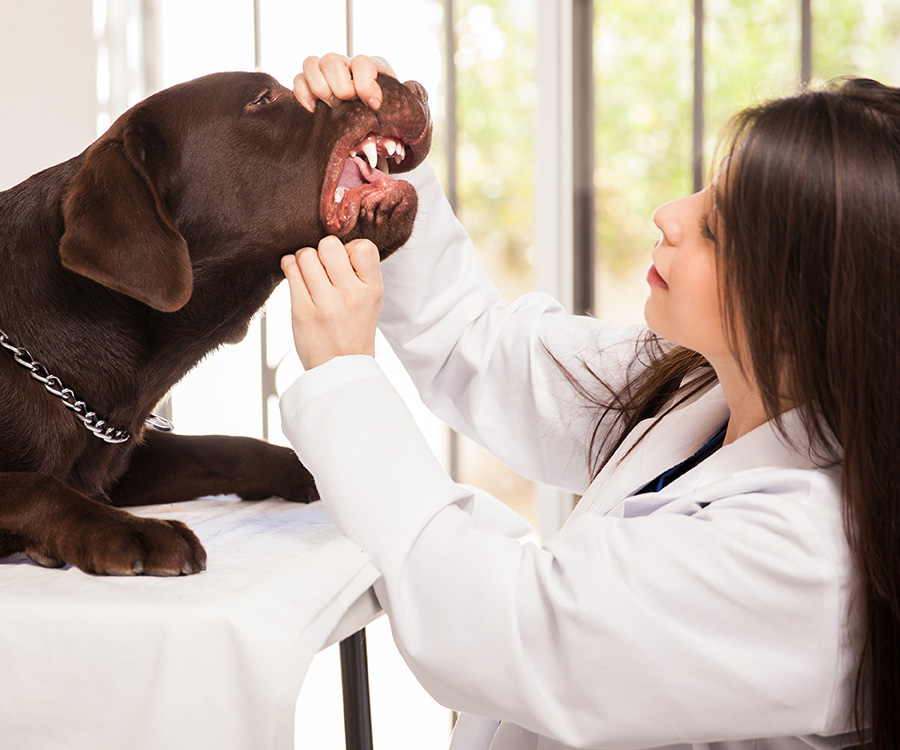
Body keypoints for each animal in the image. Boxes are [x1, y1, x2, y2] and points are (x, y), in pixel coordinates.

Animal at [0, 72, 432, 576]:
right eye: (263, 99)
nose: (415, 86)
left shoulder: (124, 461)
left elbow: (219, 444)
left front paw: (312, 467)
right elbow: (35, 485)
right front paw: (131, 530)